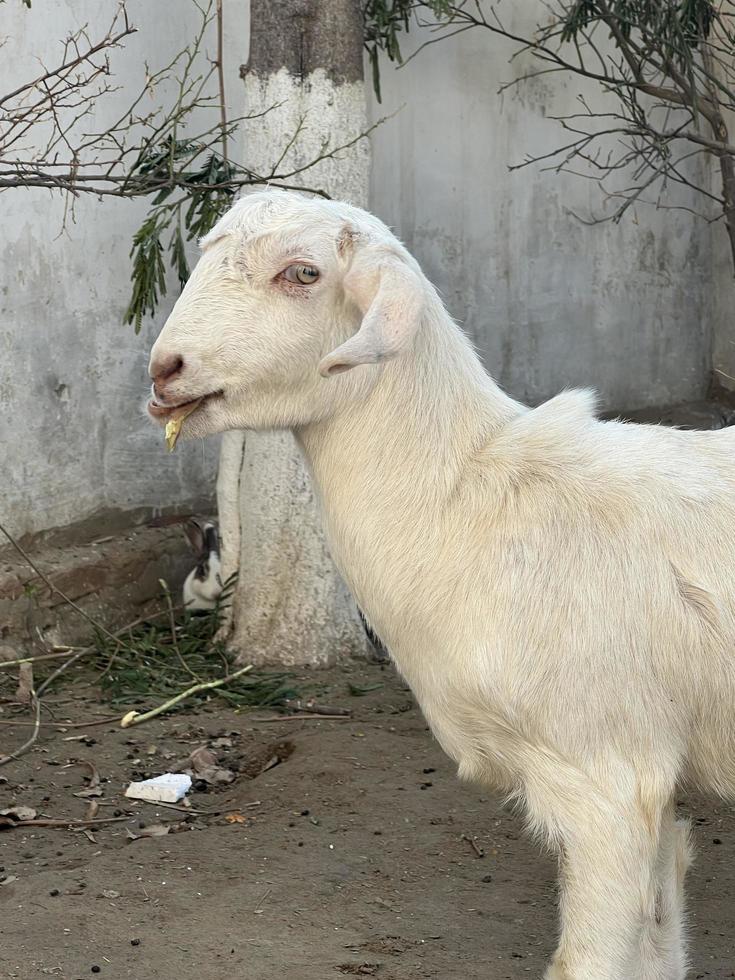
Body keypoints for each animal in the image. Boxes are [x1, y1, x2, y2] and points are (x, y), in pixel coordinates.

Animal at [148, 191, 735, 980]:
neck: (469, 500)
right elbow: (659, 942)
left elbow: (585, 961)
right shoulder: (657, 789)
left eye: (303, 273)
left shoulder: (606, 775)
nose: (164, 370)